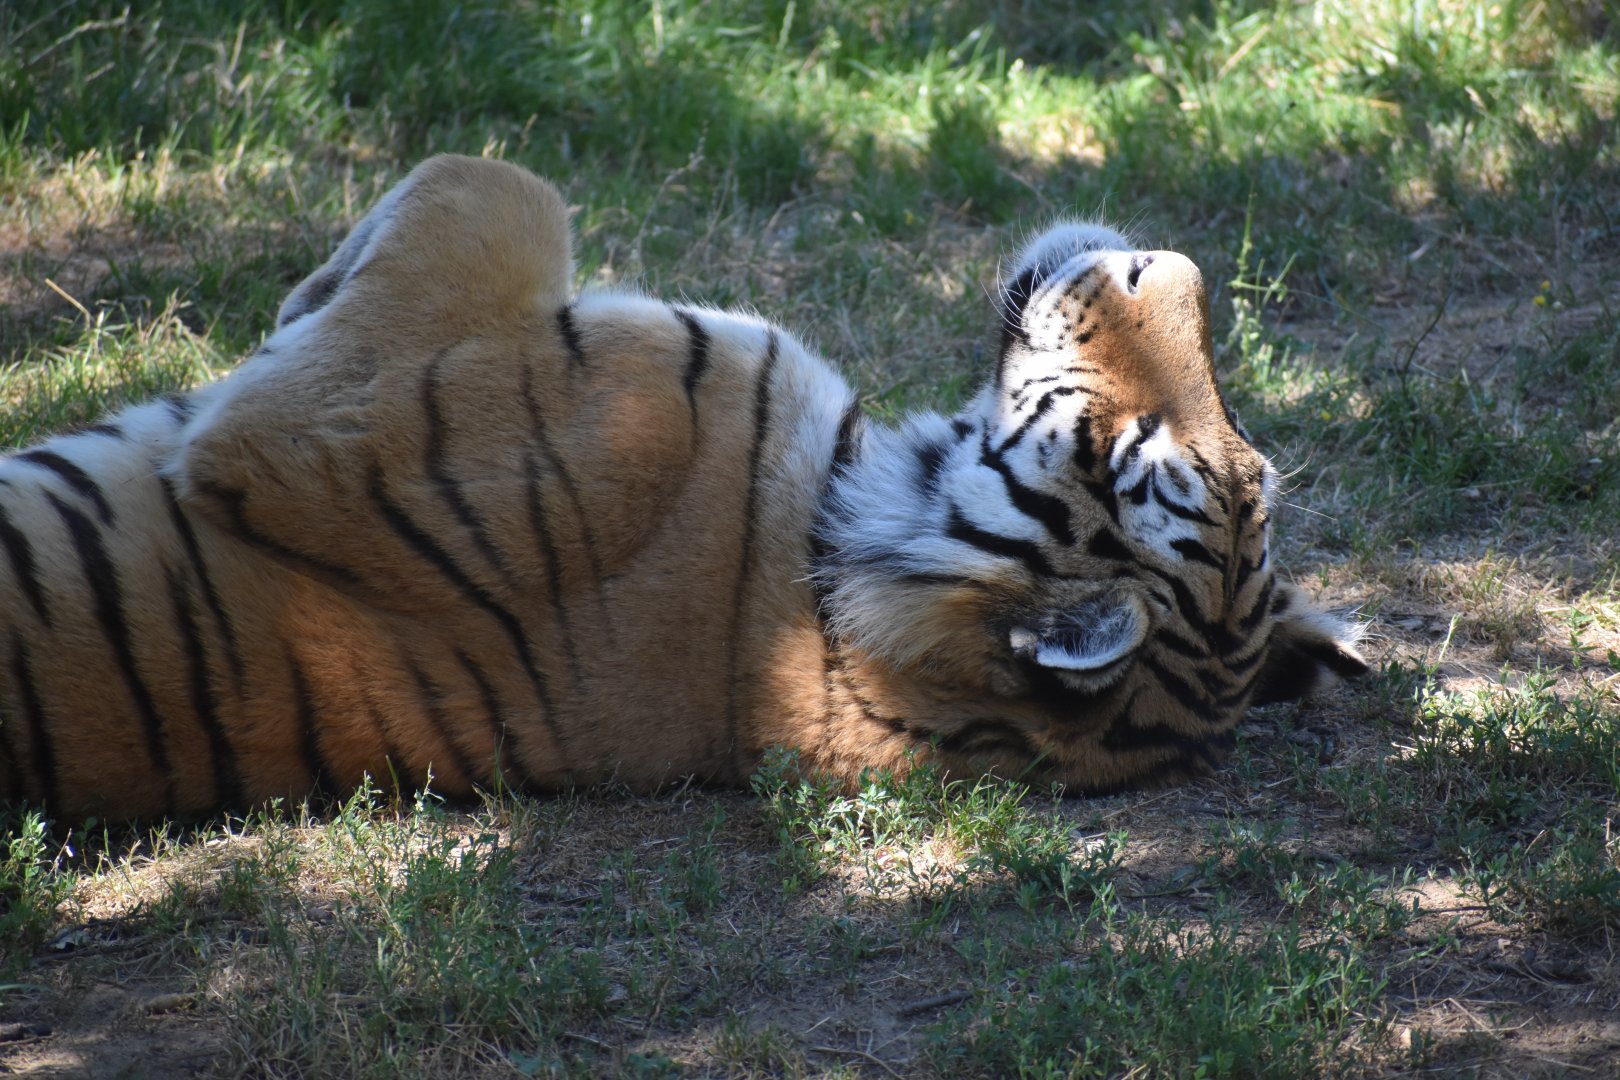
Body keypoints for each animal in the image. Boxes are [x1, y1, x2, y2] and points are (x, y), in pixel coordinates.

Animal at [0, 154, 1367, 822]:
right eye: (1235, 458)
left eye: (1125, 461)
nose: (1168, 265)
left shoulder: (311, 433)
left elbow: (492, 182)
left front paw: (304, 297)